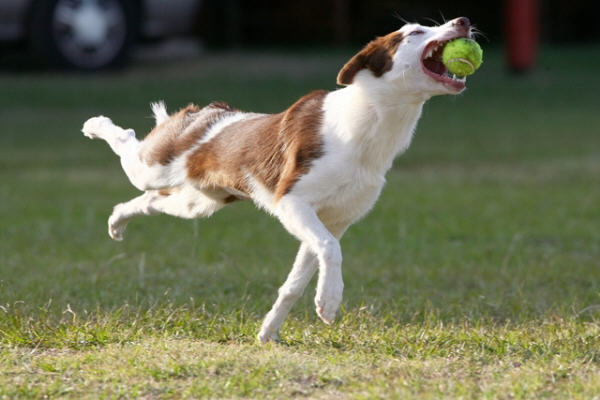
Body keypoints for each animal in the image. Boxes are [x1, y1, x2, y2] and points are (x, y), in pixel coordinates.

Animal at [82, 17, 474, 342]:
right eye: (415, 32)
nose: (464, 21)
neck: (371, 123)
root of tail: (206, 112)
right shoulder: (292, 202)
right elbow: (331, 250)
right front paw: (330, 300)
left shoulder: (334, 220)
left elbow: (296, 281)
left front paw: (270, 331)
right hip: (154, 167)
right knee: (128, 143)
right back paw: (94, 124)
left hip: (199, 201)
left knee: (150, 201)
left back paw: (116, 222)